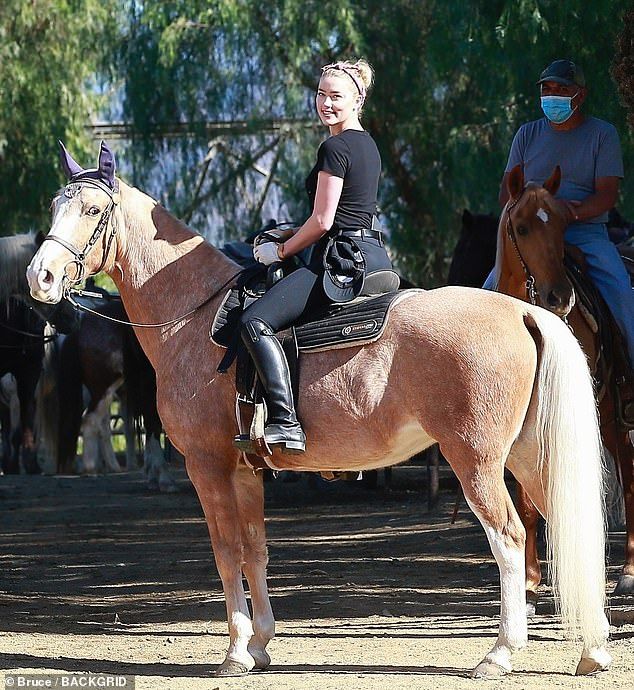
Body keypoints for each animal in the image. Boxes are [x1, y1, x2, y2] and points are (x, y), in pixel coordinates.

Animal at [27, 142, 608, 676]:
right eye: (55, 204)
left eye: (93, 211)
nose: (41, 277)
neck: (196, 317)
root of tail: (524, 312)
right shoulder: (245, 470)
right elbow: (255, 550)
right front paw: (261, 643)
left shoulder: (208, 466)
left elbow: (225, 551)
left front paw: (235, 651)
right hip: (527, 457)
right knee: (565, 527)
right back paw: (593, 649)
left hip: (478, 463)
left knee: (510, 540)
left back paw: (501, 653)